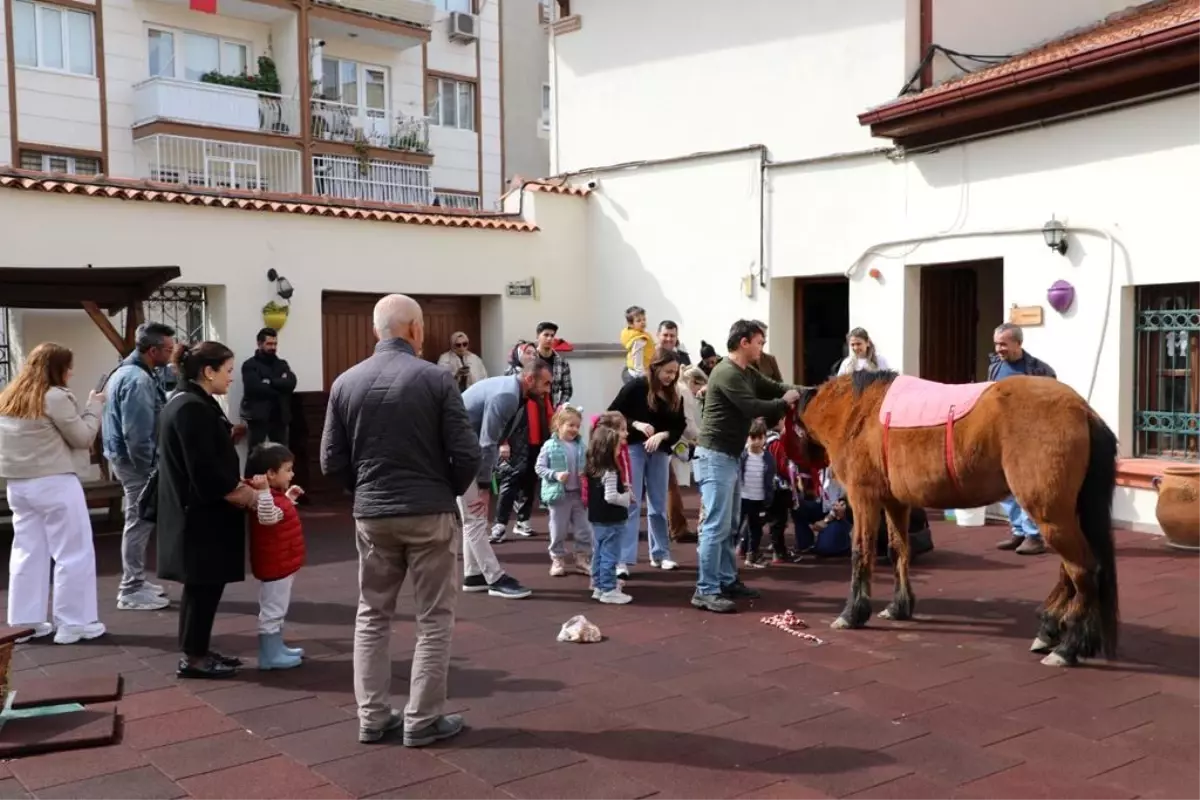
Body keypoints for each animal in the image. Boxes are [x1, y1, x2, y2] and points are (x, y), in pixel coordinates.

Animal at [792, 371, 1118, 666]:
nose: (803, 484)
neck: (858, 411)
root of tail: (1083, 410)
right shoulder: (895, 502)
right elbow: (899, 550)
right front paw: (899, 607)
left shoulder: (863, 498)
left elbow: (861, 552)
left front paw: (852, 613)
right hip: (1064, 514)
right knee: (1072, 571)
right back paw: (1052, 629)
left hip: (1050, 515)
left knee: (1083, 571)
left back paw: (1068, 646)